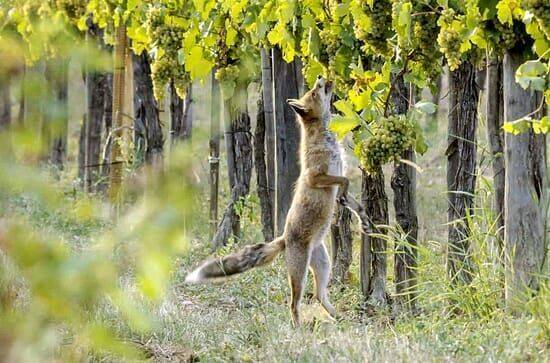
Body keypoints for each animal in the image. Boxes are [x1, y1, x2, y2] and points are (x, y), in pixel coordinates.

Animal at [185, 76, 350, 328]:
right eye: (314, 92)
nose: (321, 77)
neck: (323, 138)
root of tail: (283, 238)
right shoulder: (315, 176)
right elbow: (343, 180)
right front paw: (343, 194)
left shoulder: (339, 167)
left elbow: (346, 179)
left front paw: (347, 201)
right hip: (300, 274)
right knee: (294, 304)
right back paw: (298, 328)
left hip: (323, 264)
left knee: (320, 296)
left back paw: (337, 318)